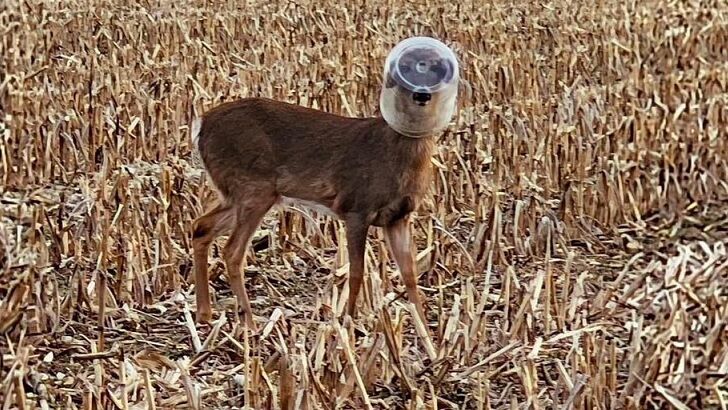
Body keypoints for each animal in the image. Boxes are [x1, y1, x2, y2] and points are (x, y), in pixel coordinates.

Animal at [191, 36, 458, 330]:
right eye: (406, 67)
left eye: (436, 68)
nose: (421, 94)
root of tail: (201, 125)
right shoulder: (356, 207)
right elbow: (356, 272)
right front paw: (350, 321)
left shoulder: (398, 217)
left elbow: (410, 274)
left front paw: (425, 327)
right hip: (252, 188)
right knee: (232, 251)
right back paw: (249, 323)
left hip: (240, 193)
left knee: (201, 226)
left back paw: (205, 313)